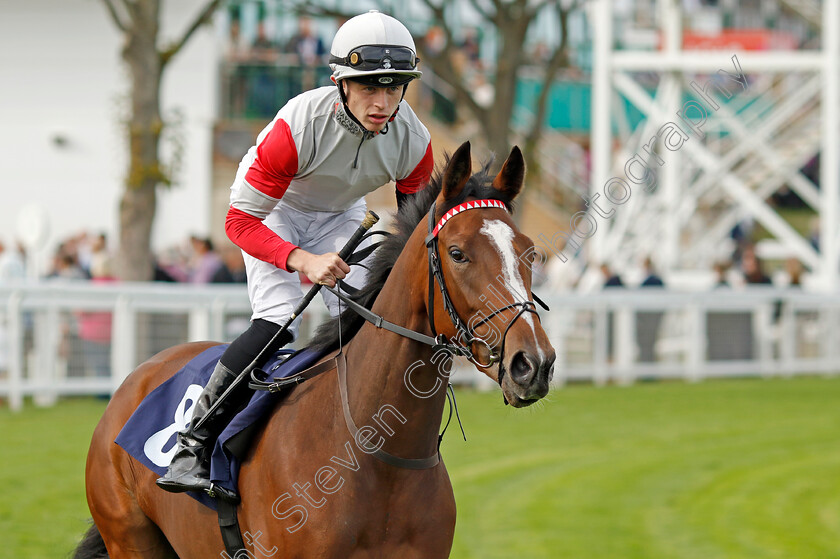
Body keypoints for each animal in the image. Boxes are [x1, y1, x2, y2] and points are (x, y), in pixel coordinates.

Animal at [75, 143, 556, 559]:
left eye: (530, 252)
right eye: (457, 253)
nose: (533, 364)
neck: (375, 453)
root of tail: (138, 376)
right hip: (130, 539)